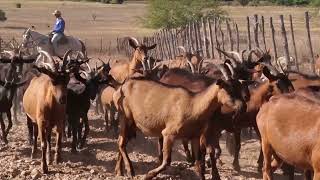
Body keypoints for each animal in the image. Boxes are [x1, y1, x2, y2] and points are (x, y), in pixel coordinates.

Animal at [113, 75, 248, 179]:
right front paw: (148, 175)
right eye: (229, 91)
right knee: (121, 142)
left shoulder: (195, 136)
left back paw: (119, 170)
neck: (193, 106)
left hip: (133, 124)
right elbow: (167, 161)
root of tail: (121, 87)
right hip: (125, 117)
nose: (243, 107)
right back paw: (130, 170)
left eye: (240, 90)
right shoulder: (168, 134)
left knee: (122, 142)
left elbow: (199, 164)